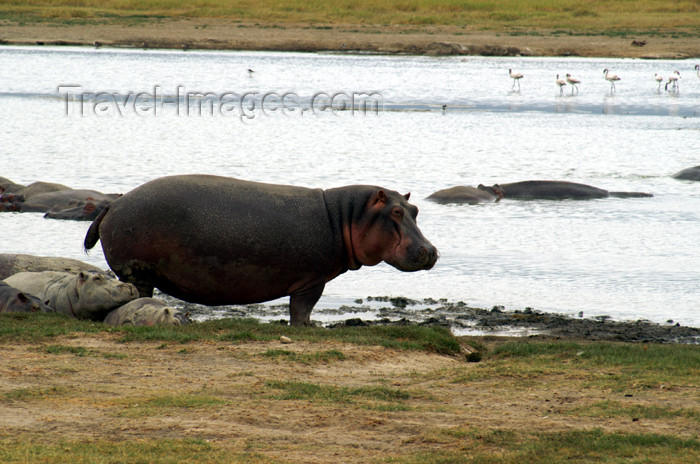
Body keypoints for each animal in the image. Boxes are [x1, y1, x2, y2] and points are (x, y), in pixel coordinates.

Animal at [83, 175, 438, 326]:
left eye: (415, 209)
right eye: (395, 212)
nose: (432, 251)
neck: (346, 216)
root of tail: (114, 203)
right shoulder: (313, 280)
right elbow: (302, 309)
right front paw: (307, 329)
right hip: (138, 273)